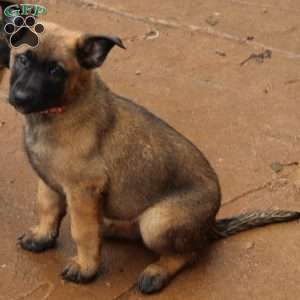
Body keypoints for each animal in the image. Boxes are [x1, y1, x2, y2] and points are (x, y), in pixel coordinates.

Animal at [1, 19, 300, 294]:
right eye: (23, 60)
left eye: (56, 71)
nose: (20, 97)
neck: (57, 112)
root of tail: (210, 226)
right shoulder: (49, 181)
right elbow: (47, 208)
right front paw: (42, 237)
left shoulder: (83, 190)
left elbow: (82, 232)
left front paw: (85, 267)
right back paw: (110, 228)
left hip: (157, 222)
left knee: (189, 252)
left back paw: (156, 272)